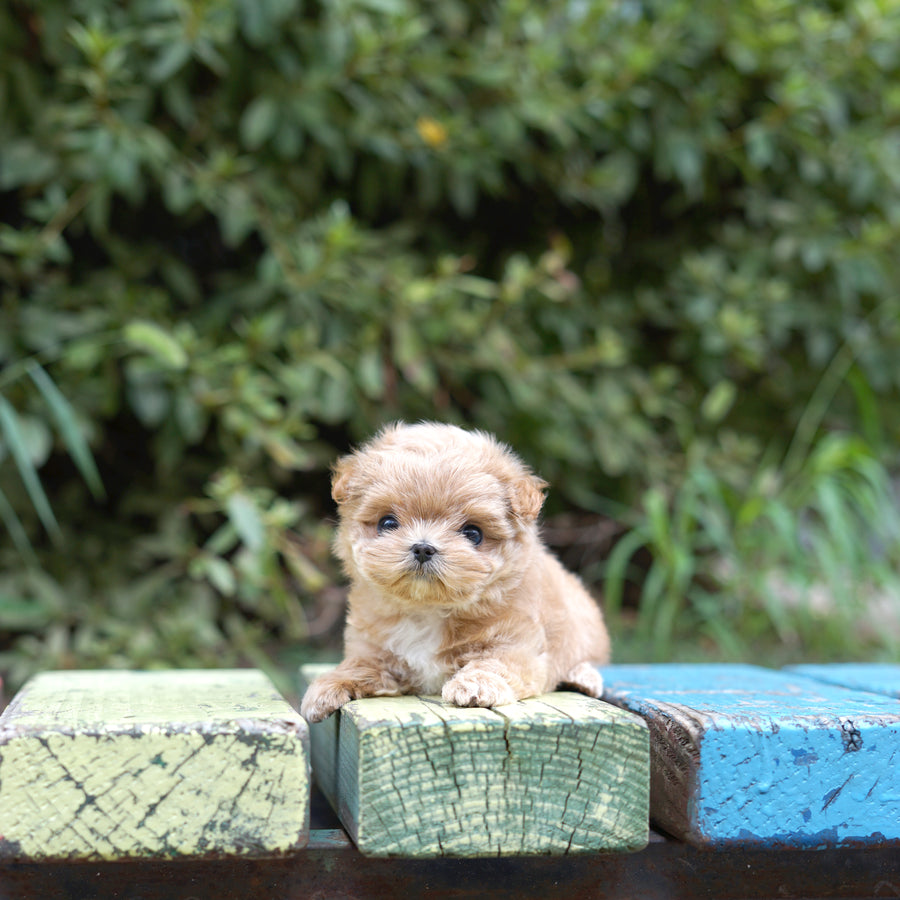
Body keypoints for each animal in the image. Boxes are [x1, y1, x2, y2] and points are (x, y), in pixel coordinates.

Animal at [302, 422, 612, 724]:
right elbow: (358, 665)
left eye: (473, 533)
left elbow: (494, 664)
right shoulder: (375, 651)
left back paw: (583, 677)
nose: (423, 548)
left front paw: (475, 685)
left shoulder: (517, 646)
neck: (428, 610)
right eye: (387, 523)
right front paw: (326, 687)